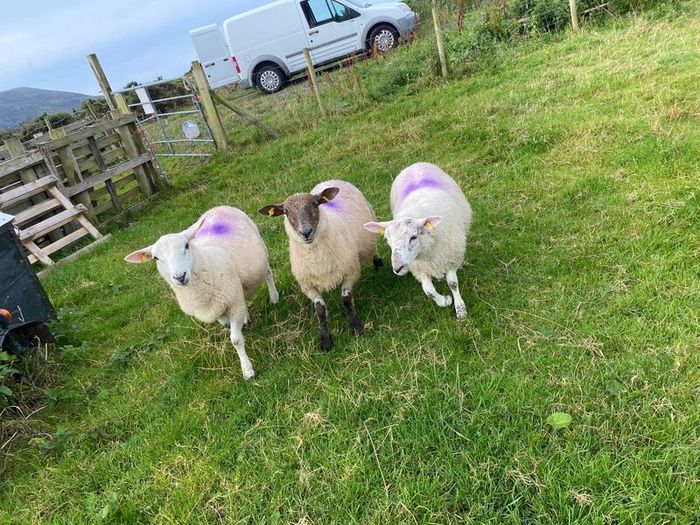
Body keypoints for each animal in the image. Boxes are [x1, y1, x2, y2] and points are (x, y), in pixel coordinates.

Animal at [124, 206, 279, 380]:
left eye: (186, 245)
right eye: (156, 258)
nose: (180, 276)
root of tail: (219, 207)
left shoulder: (233, 302)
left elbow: (236, 340)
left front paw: (247, 370)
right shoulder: (222, 306)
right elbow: (226, 324)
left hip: (262, 252)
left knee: (268, 273)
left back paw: (274, 297)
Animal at [259, 180, 381, 351]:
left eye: (315, 204)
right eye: (286, 211)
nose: (306, 232)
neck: (317, 259)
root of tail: (331, 180)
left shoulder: (351, 272)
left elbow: (346, 300)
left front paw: (356, 327)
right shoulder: (307, 285)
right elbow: (320, 310)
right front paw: (325, 341)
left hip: (370, 223)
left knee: (374, 245)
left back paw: (378, 262)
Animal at [364, 162, 472, 319]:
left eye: (413, 237)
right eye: (388, 241)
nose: (397, 269)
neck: (425, 252)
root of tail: (415, 165)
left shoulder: (451, 258)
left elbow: (453, 283)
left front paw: (460, 308)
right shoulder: (419, 268)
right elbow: (428, 290)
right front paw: (444, 301)